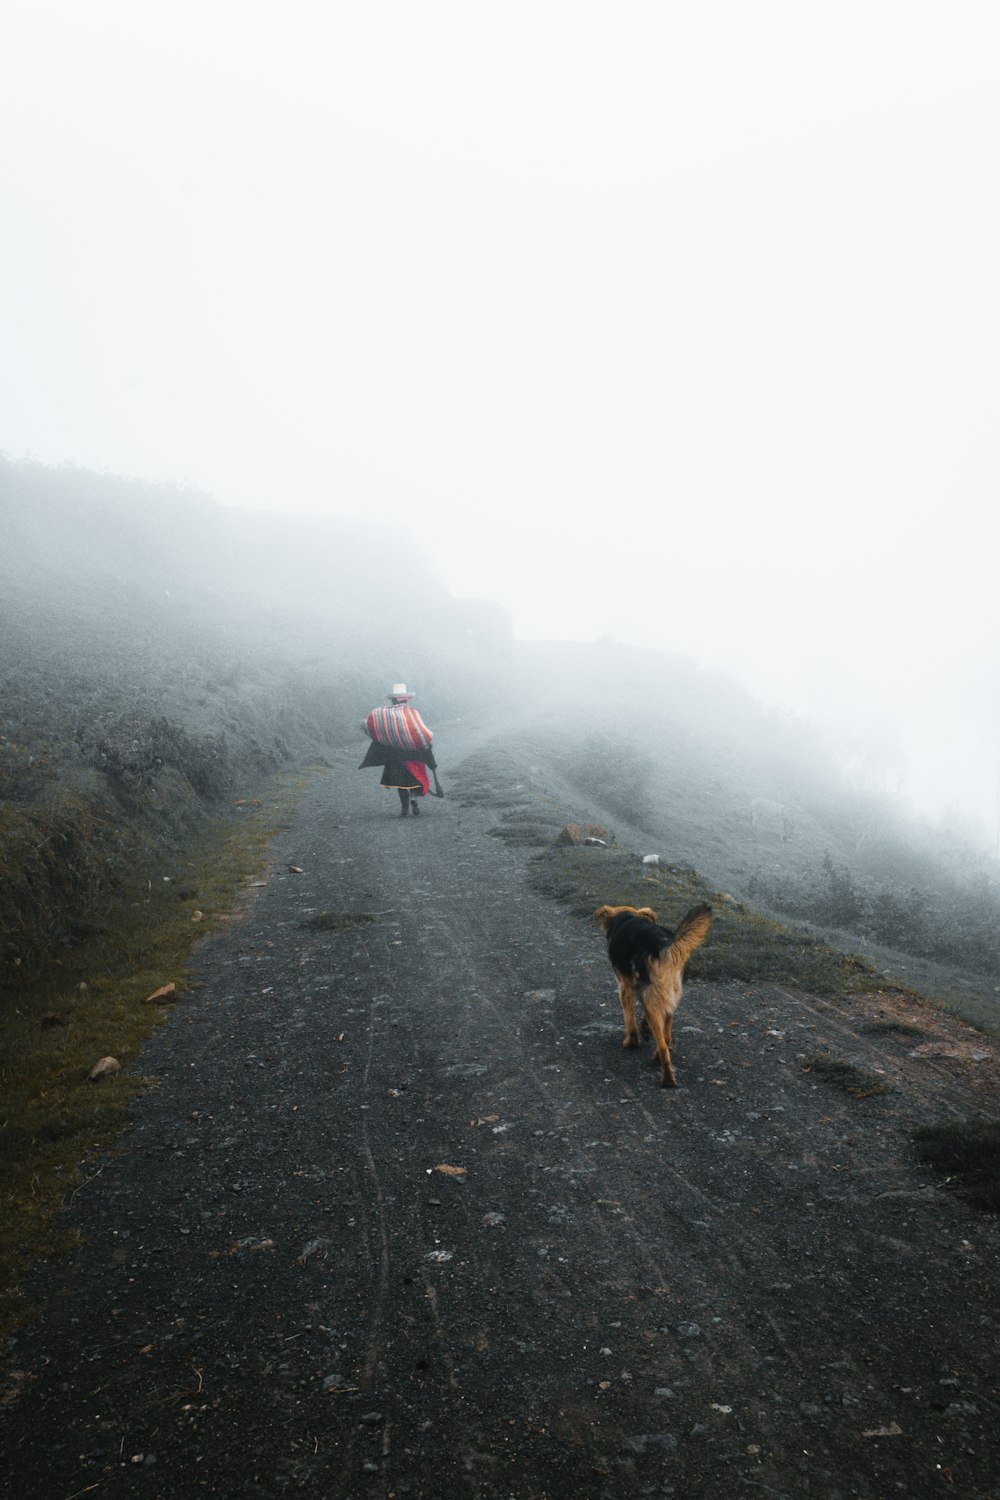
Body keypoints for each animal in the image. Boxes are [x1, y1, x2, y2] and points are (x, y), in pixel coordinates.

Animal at [593, 900, 710, 1092]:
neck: (627, 917)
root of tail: (665, 947)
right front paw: (644, 1030)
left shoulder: (625, 987)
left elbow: (630, 1019)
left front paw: (631, 1042)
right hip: (668, 997)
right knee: (667, 1036)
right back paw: (658, 1056)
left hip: (652, 998)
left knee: (663, 1045)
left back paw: (667, 1078)